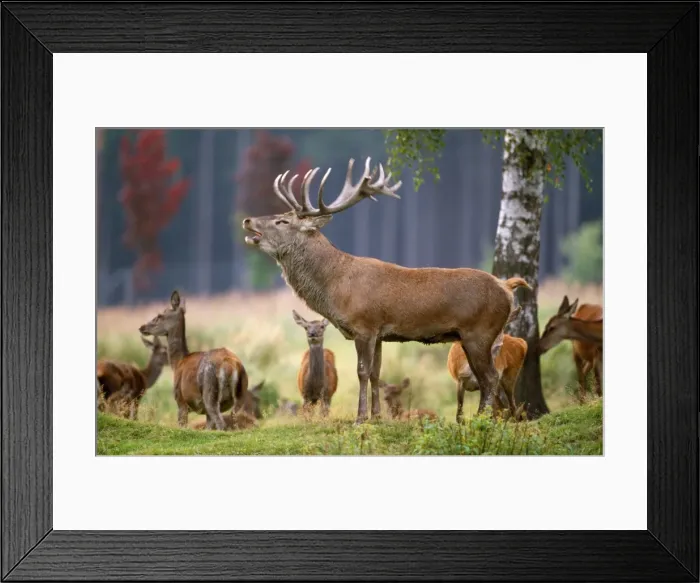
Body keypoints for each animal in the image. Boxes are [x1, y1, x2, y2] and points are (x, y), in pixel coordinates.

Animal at [138, 290, 250, 431]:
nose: (142, 327)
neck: (178, 362)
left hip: (209, 392)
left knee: (221, 423)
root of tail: (230, 365)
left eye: (160, 315)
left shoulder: (180, 401)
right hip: (241, 394)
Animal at [241, 157, 531, 424]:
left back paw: (481, 420)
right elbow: (376, 373)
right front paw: (377, 416)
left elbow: (361, 371)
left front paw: (360, 418)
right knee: (487, 378)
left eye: (282, 222)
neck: (336, 288)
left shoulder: (364, 325)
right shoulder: (380, 333)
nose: (247, 220)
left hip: (479, 331)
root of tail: (506, 288)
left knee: (490, 377)